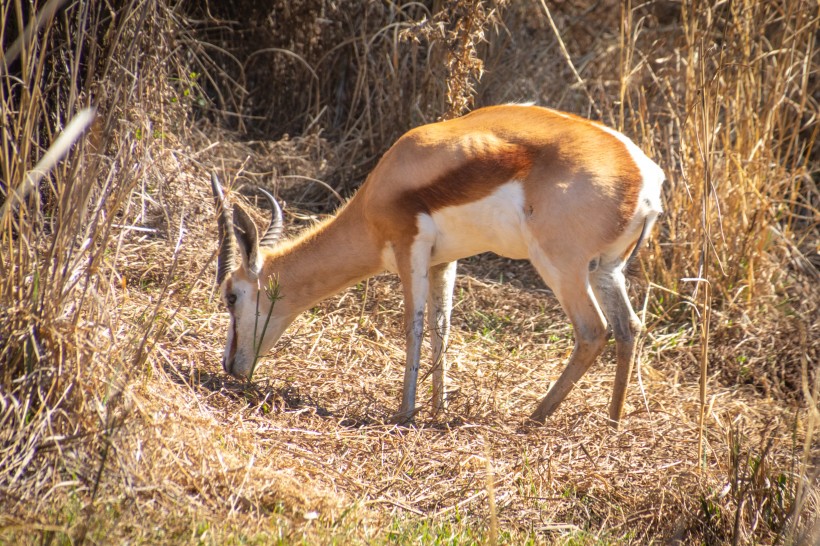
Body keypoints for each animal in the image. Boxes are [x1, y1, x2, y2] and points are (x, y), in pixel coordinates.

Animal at [208, 103, 664, 424]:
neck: (382, 188)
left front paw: (404, 413)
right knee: (628, 327)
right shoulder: (444, 261)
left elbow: (412, 326)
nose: (230, 365)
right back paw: (613, 422)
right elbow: (440, 327)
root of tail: (645, 177)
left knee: (593, 331)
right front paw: (438, 411)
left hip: (560, 266)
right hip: (605, 269)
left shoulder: (408, 246)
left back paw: (532, 419)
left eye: (232, 296)